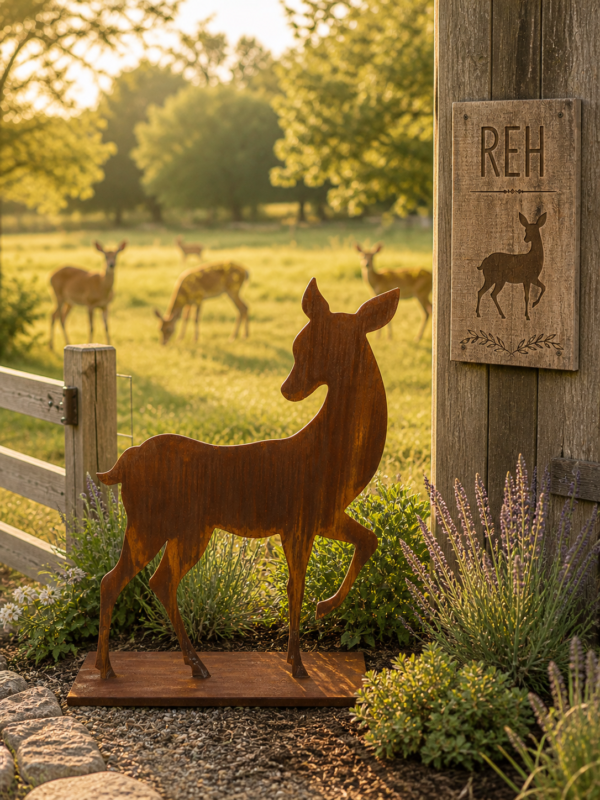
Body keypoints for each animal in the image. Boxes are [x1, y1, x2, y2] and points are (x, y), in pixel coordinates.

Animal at [95, 279, 400, 681]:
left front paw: (323, 610)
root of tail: (124, 462)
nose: (287, 389)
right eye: (297, 346)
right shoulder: (299, 520)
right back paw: (110, 670)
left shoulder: (323, 516)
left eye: (313, 347)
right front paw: (298, 664)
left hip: (183, 528)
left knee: (156, 580)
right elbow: (295, 585)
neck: (327, 454)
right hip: (154, 523)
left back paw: (190, 665)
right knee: (119, 580)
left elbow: (368, 540)